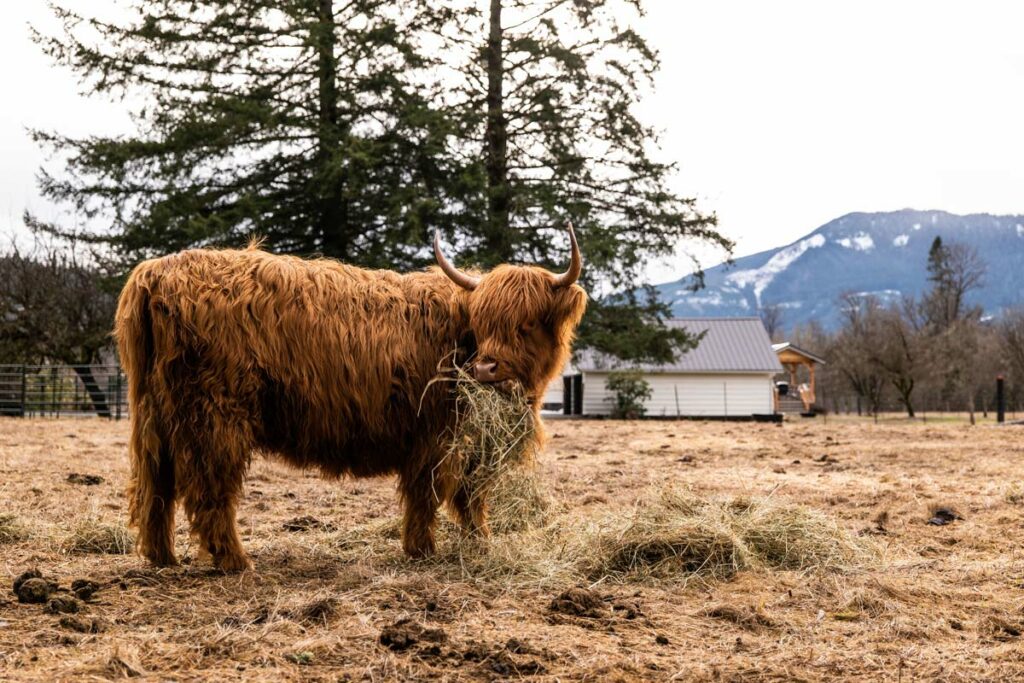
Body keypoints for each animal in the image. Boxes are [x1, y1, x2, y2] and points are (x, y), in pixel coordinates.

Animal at [114, 227, 585, 569]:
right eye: (484, 322)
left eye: (526, 325)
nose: (486, 369)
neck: (458, 339)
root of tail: (158, 270)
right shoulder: (438, 437)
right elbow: (436, 493)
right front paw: (425, 550)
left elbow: (466, 495)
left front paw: (476, 542)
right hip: (216, 416)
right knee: (208, 489)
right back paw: (235, 561)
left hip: (154, 415)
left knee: (154, 484)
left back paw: (162, 557)